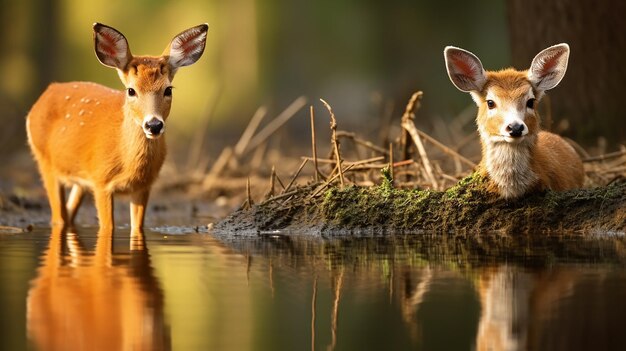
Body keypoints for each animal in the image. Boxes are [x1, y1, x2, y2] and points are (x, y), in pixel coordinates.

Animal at [26, 22, 207, 231]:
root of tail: (45, 94)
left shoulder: (143, 186)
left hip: (79, 179)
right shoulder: (101, 181)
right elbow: (108, 227)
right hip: (45, 162)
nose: (153, 125)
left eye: (168, 89)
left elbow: (137, 228)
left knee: (68, 214)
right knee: (58, 217)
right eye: (131, 90)